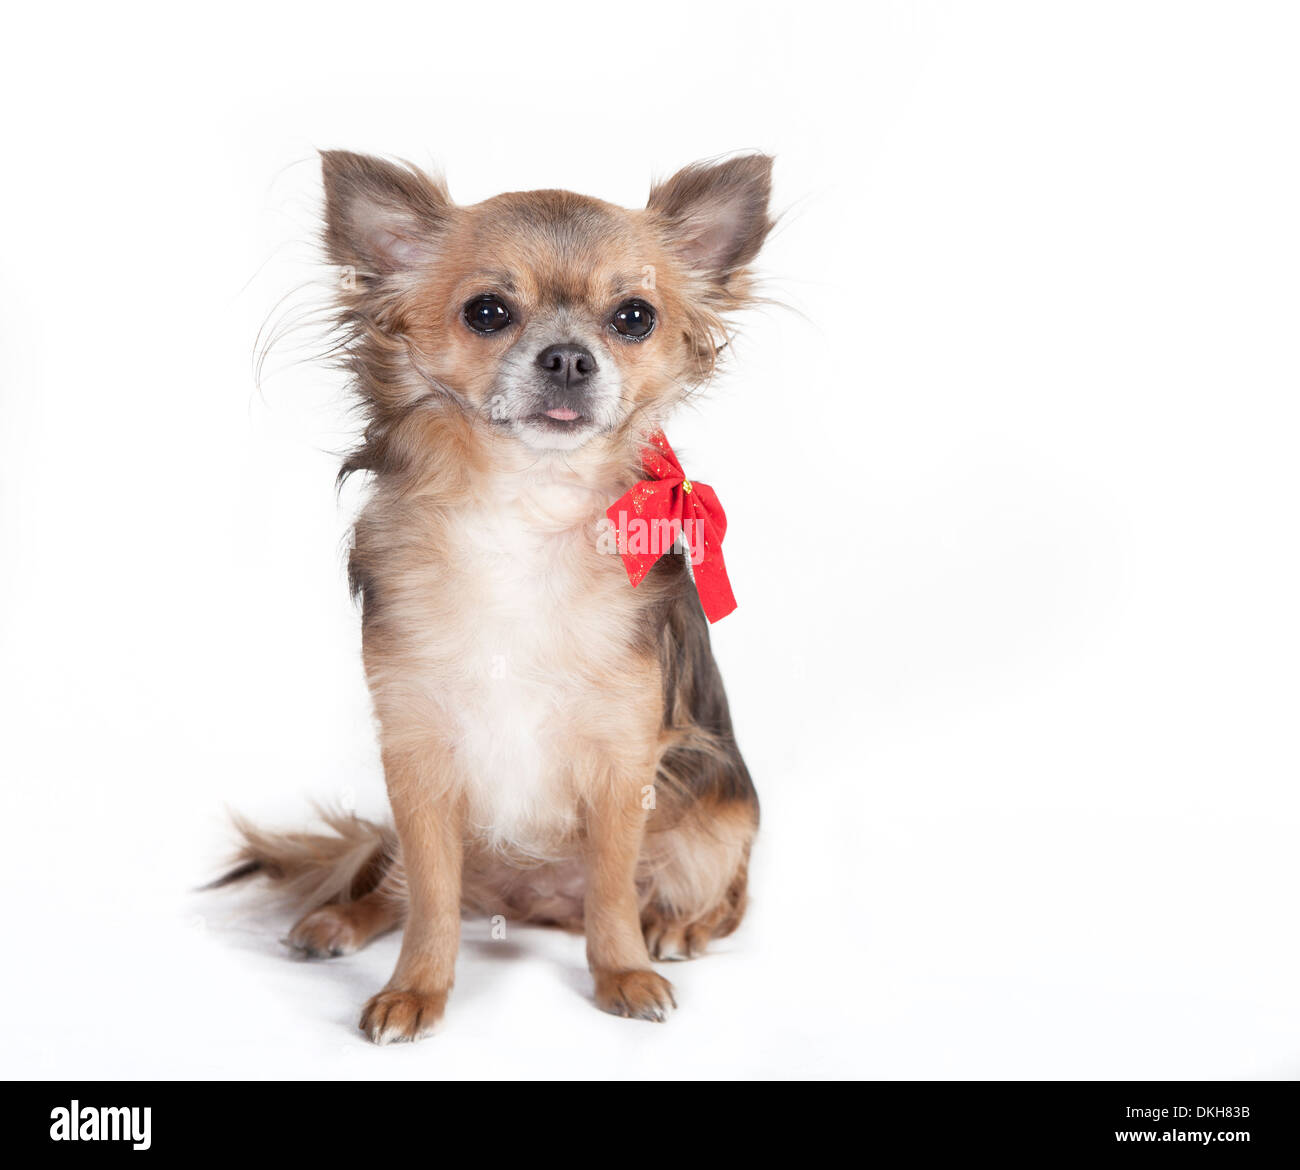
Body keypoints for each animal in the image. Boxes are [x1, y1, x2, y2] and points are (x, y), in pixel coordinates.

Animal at [222, 148, 769, 1040]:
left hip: (719, 817)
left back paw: (677, 927)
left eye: (634, 317)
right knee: (404, 883)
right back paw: (338, 920)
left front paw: (624, 972)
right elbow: (431, 898)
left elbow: (613, 889)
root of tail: (535, 904)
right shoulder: (416, 757)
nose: (570, 357)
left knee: (721, 897)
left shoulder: (623, 759)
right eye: (487, 312)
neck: (523, 502)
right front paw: (416, 987)